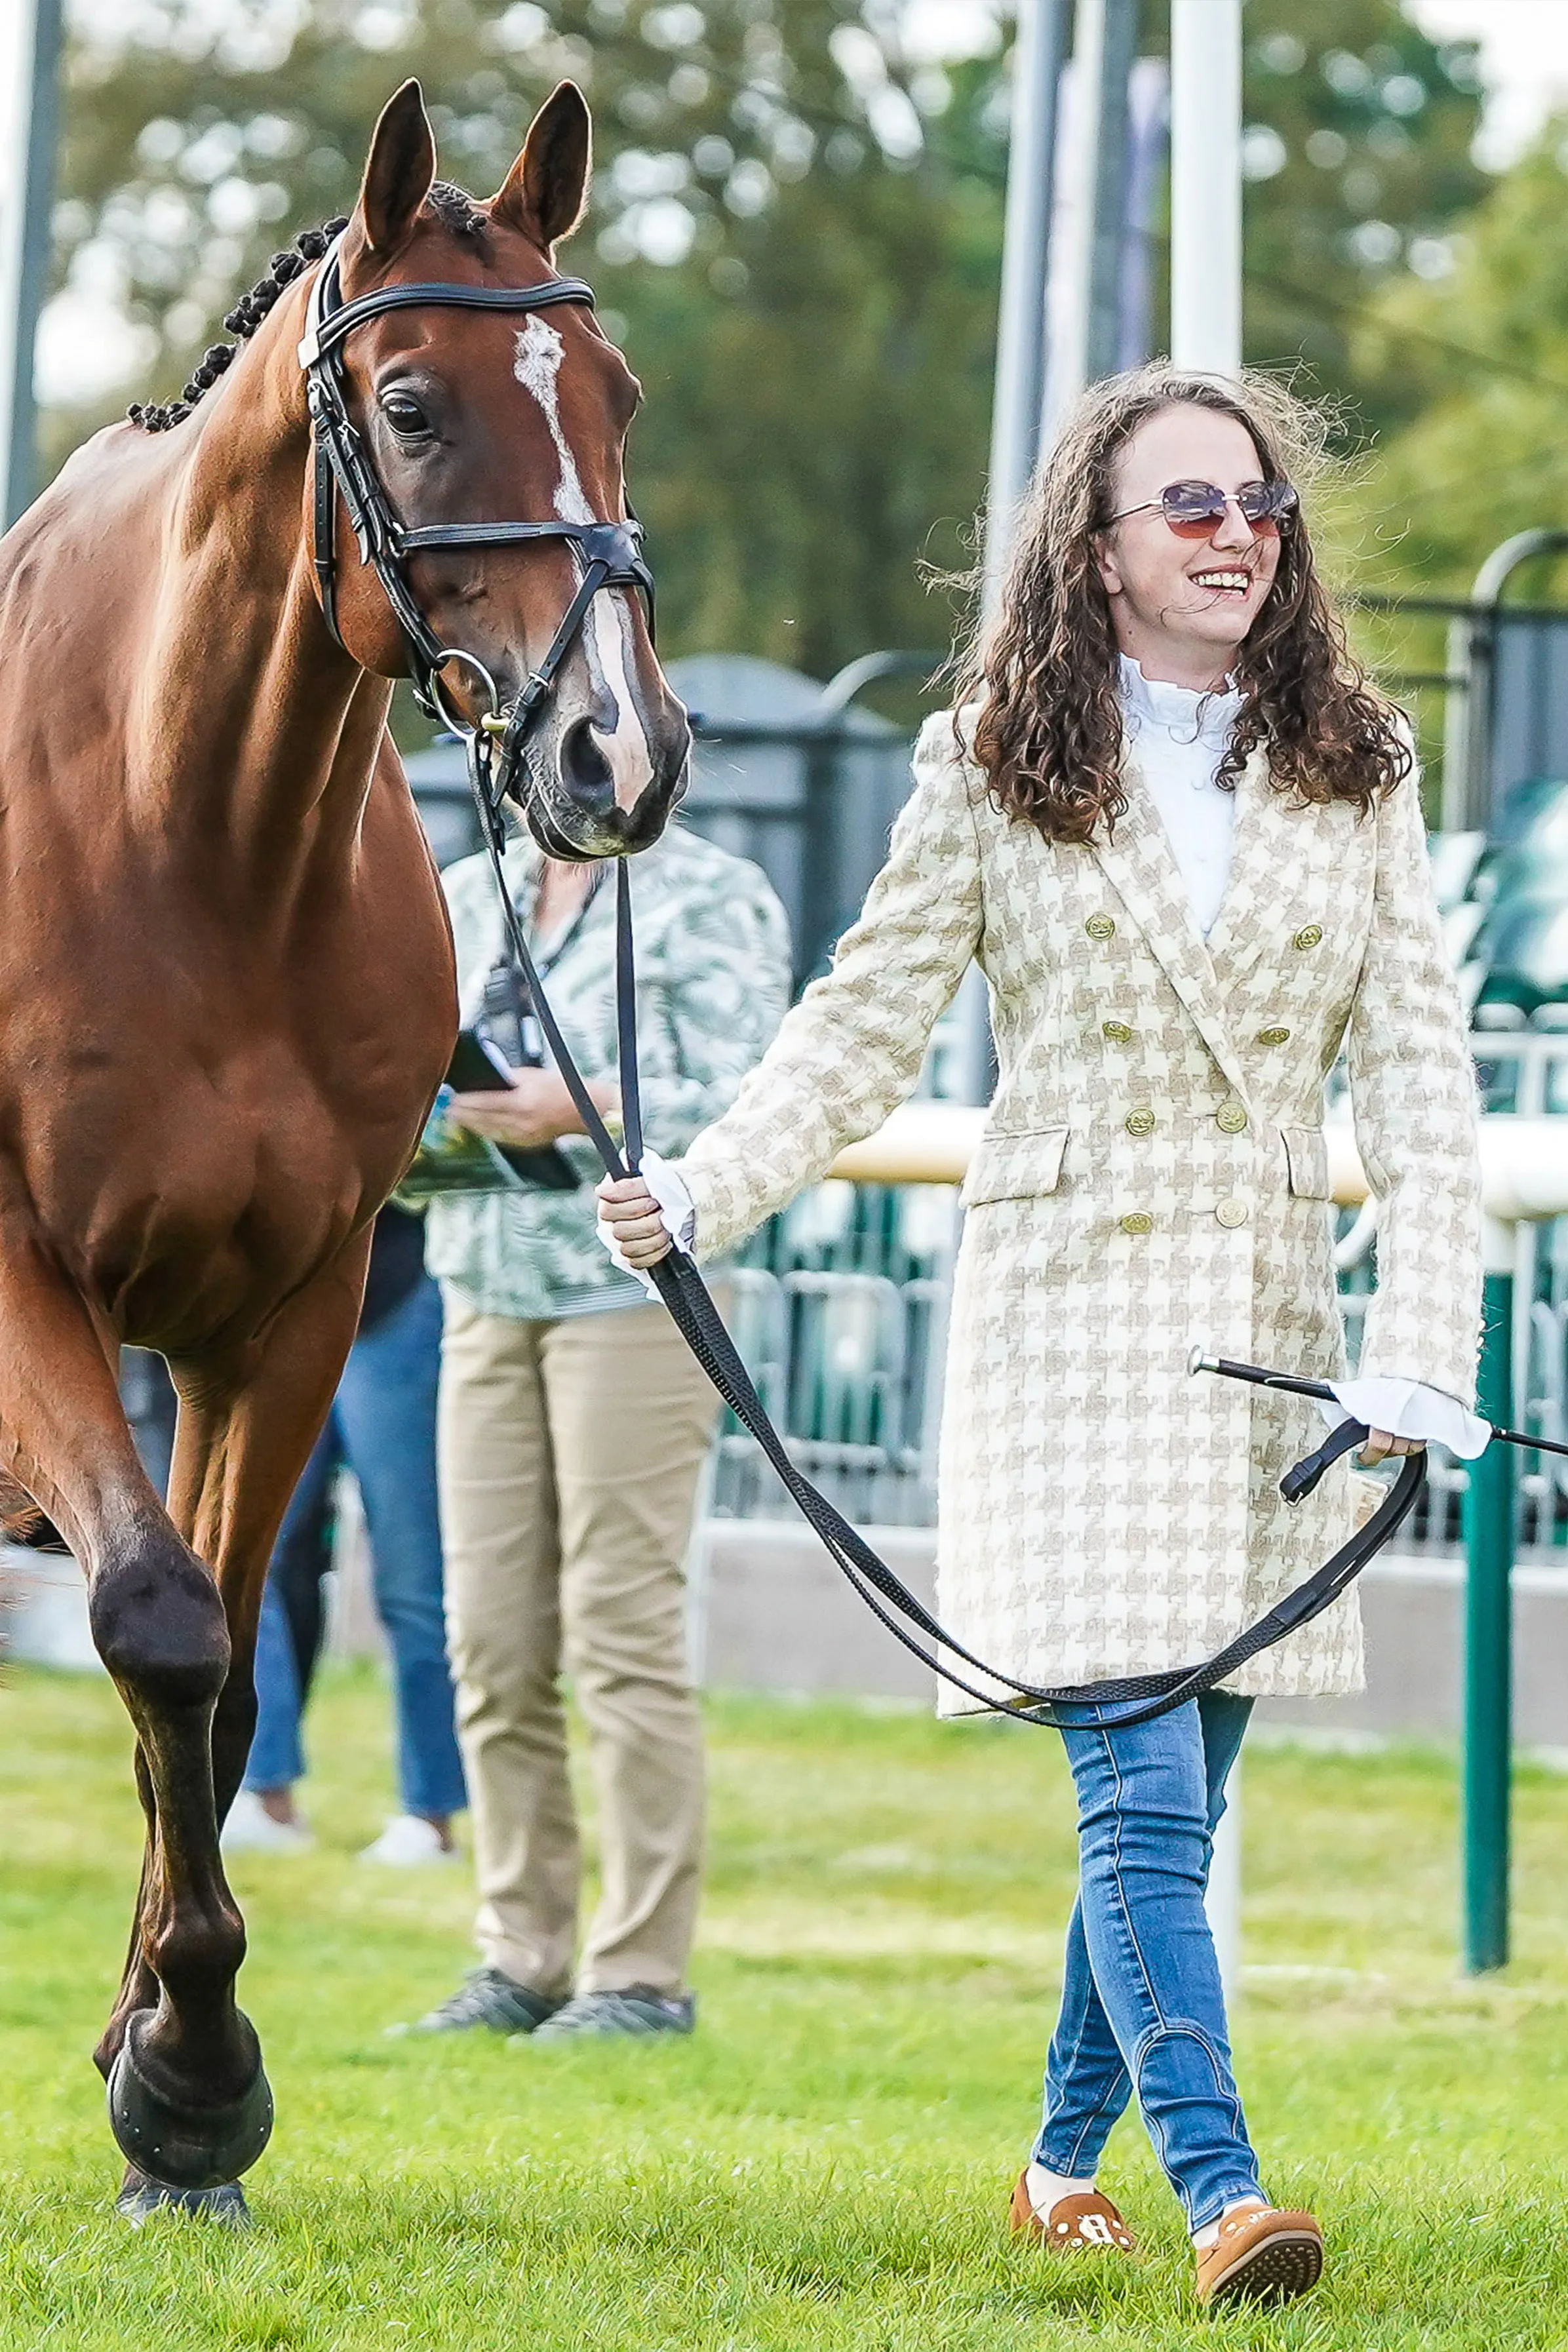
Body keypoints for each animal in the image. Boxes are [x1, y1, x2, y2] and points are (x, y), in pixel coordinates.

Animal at [0, 78, 686, 2220]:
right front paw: (190, 2073)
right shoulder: (25, 1283)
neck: (176, 832)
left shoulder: (283, 1310)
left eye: (617, 391)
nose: (617, 756)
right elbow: (151, 1622)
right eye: (405, 403)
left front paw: (164, 2061)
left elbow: (213, 1688)